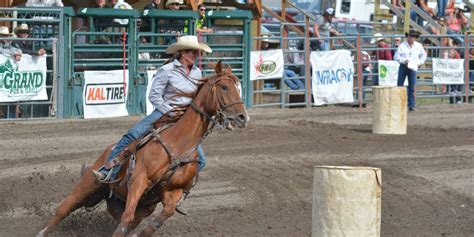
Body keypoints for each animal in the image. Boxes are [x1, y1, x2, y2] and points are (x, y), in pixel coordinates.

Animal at [38, 61, 248, 237]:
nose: (243, 117)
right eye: (224, 87)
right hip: (87, 186)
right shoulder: (139, 179)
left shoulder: (173, 192)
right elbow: (126, 218)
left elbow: (161, 216)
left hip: (129, 204)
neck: (178, 144)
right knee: (63, 210)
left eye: (237, 87)